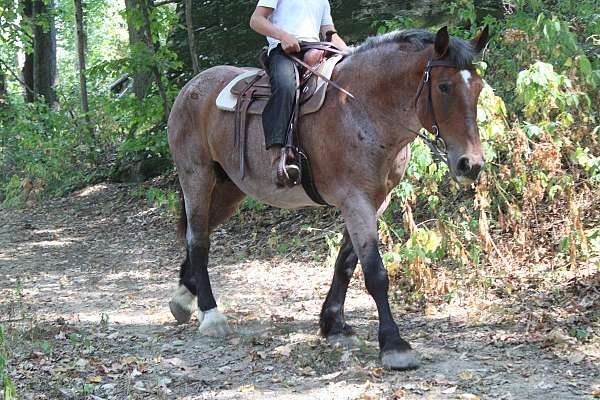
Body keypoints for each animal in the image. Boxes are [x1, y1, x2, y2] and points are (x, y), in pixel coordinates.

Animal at [166, 26, 490, 370]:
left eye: (478, 88)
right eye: (443, 86)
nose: (471, 164)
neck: (363, 109)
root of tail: (192, 87)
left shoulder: (375, 201)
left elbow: (345, 263)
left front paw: (333, 324)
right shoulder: (355, 200)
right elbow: (375, 272)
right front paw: (394, 345)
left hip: (229, 189)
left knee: (199, 232)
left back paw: (185, 297)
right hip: (196, 177)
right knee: (198, 239)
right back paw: (211, 314)